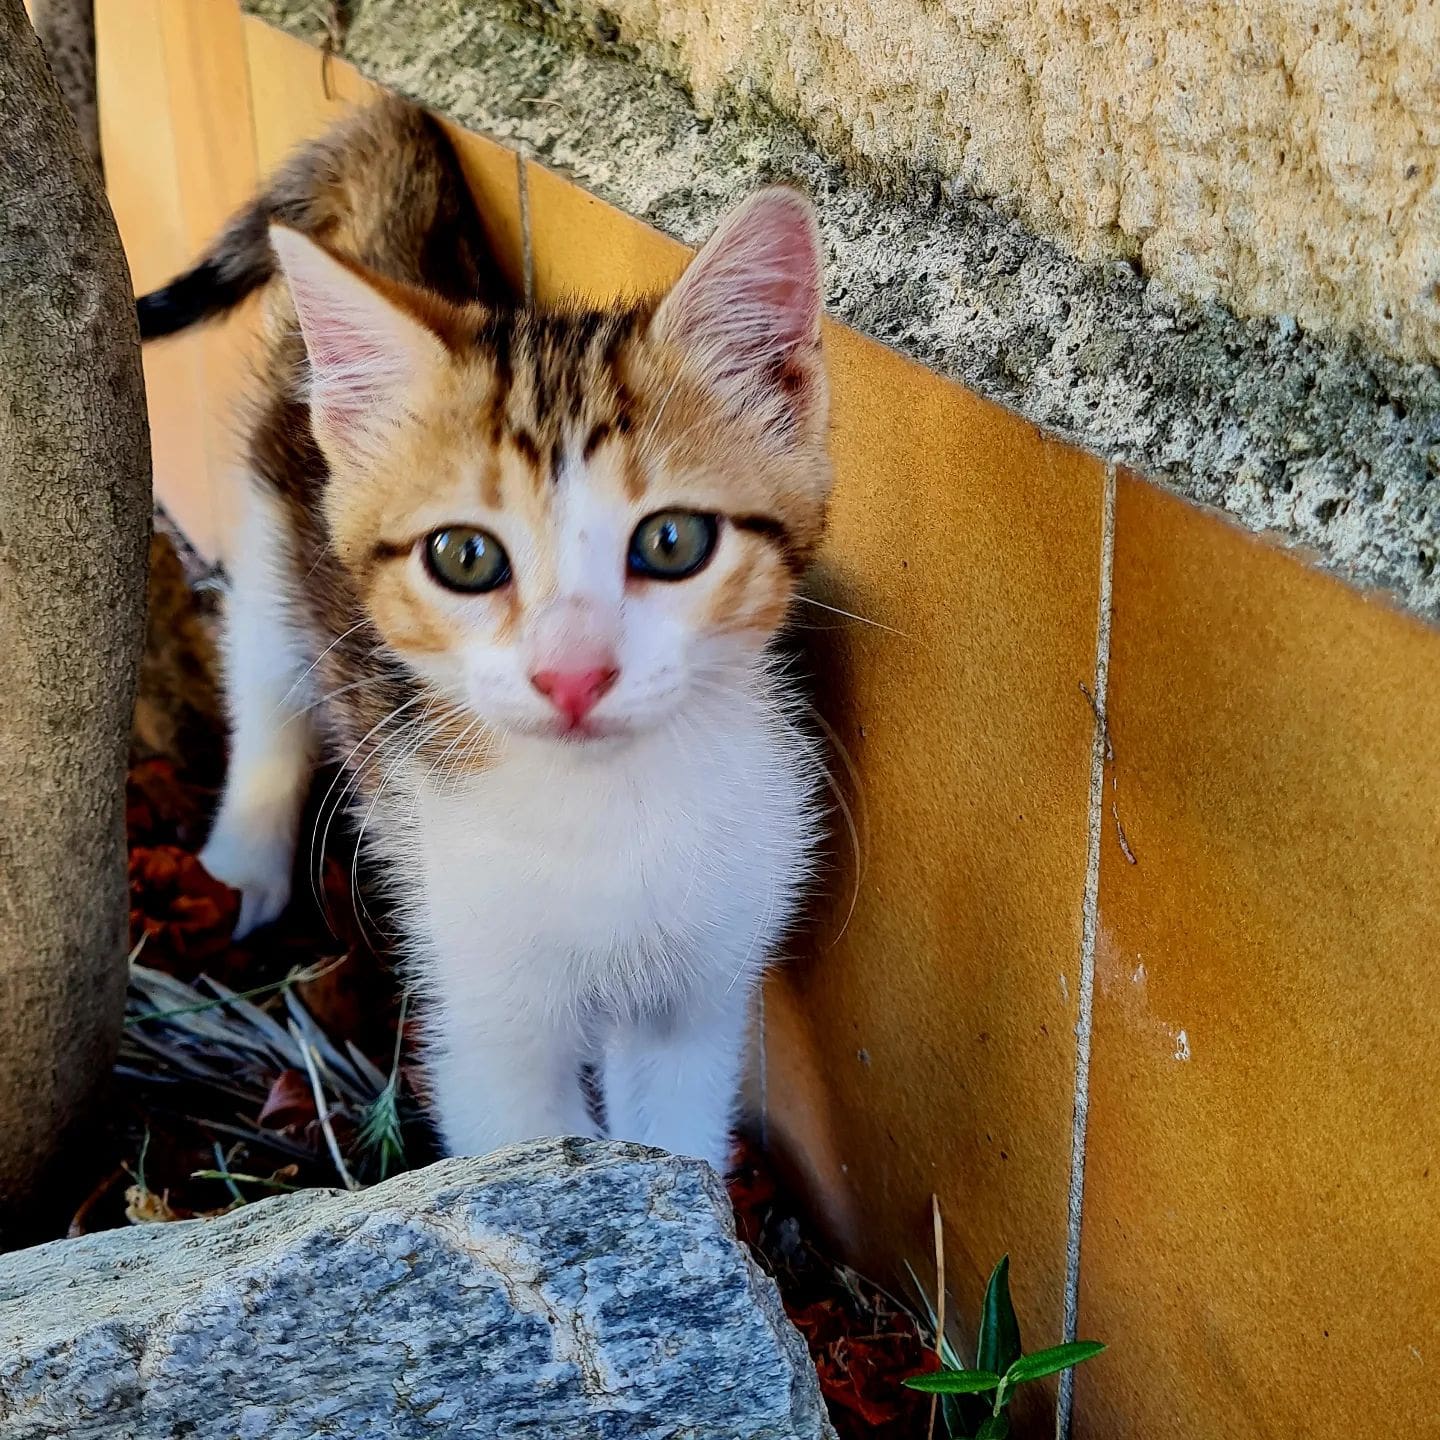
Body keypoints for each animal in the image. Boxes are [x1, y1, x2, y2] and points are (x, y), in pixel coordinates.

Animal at [141, 98, 835, 1169]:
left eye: (672, 542)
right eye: (464, 557)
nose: (573, 675)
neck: (602, 813)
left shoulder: (698, 992)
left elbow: (670, 1148)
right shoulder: (483, 1016)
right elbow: (530, 1144)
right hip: (270, 541)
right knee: (264, 684)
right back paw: (240, 872)